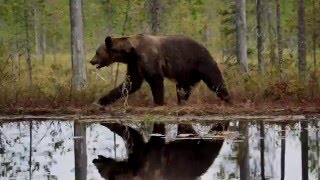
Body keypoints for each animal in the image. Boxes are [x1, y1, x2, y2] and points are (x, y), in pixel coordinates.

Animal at [90, 34, 230, 105]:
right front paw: (102, 100)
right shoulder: (135, 62)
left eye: (97, 52)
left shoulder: (148, 56)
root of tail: (204, 46)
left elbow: (155, 78)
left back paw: (226, 97)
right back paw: (181, 102)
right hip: (186, 72)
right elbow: (131, 82)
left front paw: (159, 102)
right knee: (183, 88)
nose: (91, 61)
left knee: (215, 79)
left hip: (200, 61)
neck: (131, 51)